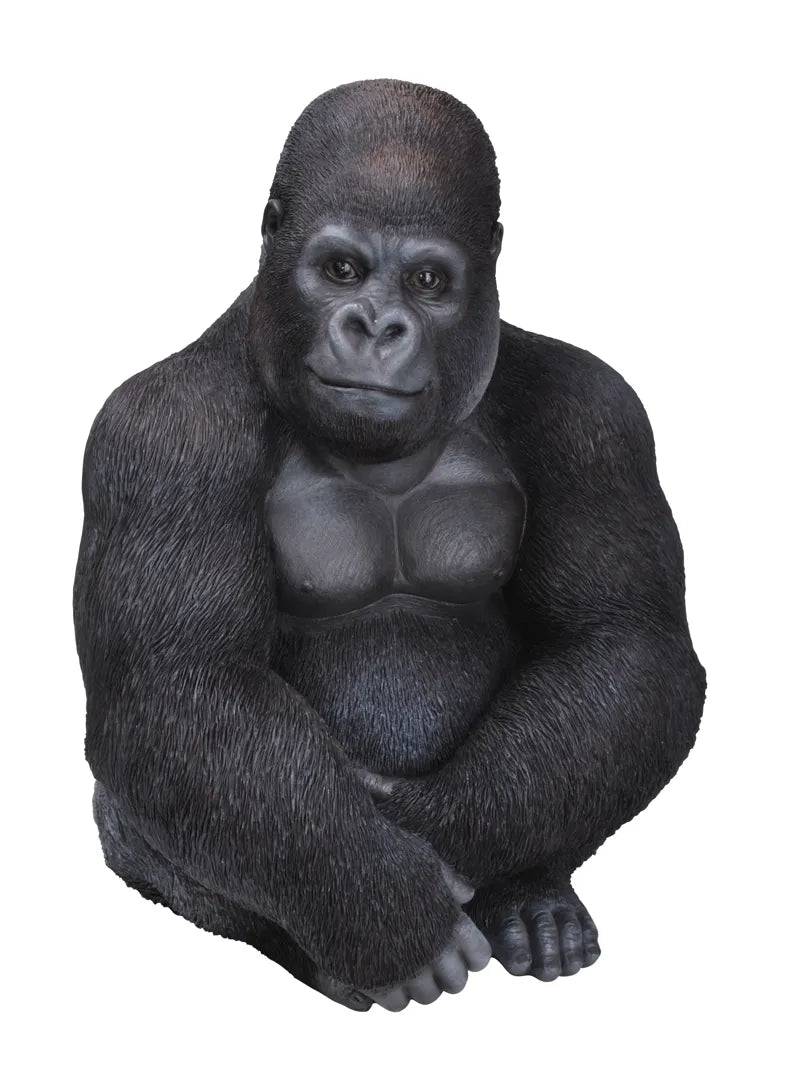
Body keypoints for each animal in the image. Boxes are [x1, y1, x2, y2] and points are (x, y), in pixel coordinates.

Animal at [75, 79, 705, 1012]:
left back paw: (534, 900)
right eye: (341, 269)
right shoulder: (161, 434)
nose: (377, 326)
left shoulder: (599, 418)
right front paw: (392, 912)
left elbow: (623, 641)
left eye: (429, 282)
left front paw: (441, 835)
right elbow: (180, 683)